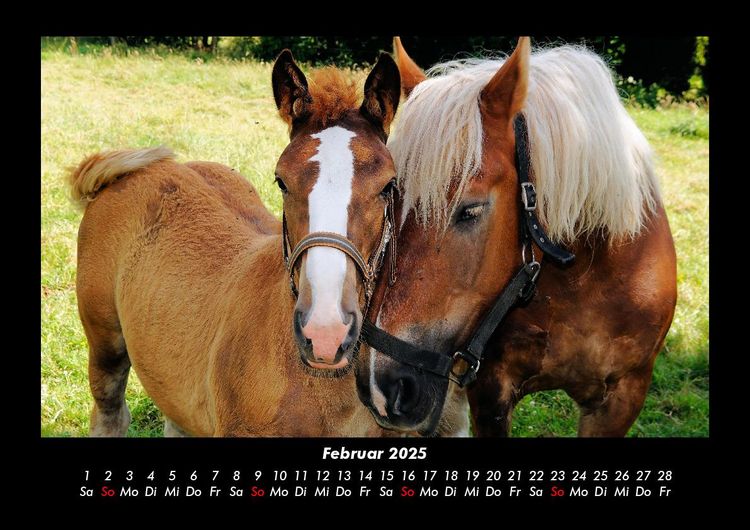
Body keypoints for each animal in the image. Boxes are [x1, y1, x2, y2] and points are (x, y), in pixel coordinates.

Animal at [70, 50, 403, 436]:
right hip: (104, 342)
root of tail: (128, 173)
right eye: (281, 181)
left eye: (388, 186)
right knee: (109, 412)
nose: (325, 333)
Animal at [356, 37, 677, 437]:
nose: (379, 386)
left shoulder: (622, 398)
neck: (583, 277)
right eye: (389, 199)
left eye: (471, 210)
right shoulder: (490, 392)